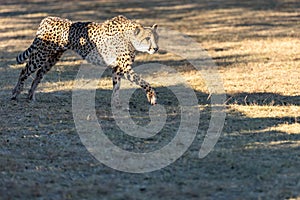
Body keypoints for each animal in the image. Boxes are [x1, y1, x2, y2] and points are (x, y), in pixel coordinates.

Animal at [12, 15, 159, 105]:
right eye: (147, 38)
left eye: (156, 37)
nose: (156, 48)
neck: (130, 38)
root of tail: (48, 18)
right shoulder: (125, 68)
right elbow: (143, 81)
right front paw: (152, 96)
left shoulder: (117, 68)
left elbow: (117, 87)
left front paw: (116, 104)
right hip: (41, 54)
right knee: (25, 70)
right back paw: (15, 93)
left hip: (53, 57)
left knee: (39, 74)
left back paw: (30, 96)